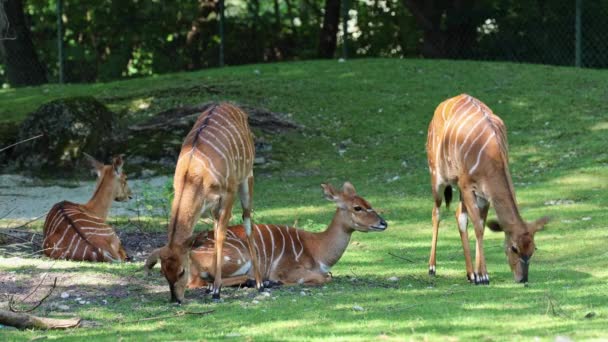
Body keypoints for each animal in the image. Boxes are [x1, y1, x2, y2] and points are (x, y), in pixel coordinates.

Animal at [145, 182, 388, 288]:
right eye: (357, 207)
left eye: (368, 203)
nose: (383, 223)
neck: (317, 249)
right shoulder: (288, 269)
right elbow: (323, 277)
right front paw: (278, 282)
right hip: (239, 257)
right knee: (200, 282)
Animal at [154, 102, 262, 304]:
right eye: (163, 272)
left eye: (182, 271)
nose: (176, 299)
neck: (195, 174)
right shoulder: (210, 204)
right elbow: (215, 232)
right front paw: (211, 285)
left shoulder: (228, 194)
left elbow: (220, 236)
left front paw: (217, 290)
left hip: (247, 178)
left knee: (247, 221)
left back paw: (260, 283)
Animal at [426, 93, 548, 284]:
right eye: (514, 248)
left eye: (533, 249)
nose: (523, 278)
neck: (492, 156)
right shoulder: (467, 185)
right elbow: (477, 226)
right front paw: (482, 276)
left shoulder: (484, 194)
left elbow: (481, 225)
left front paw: (478, 273)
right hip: (437, 177)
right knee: (436, 213)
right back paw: (432, 268)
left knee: (458, 215)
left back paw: (469, 274)